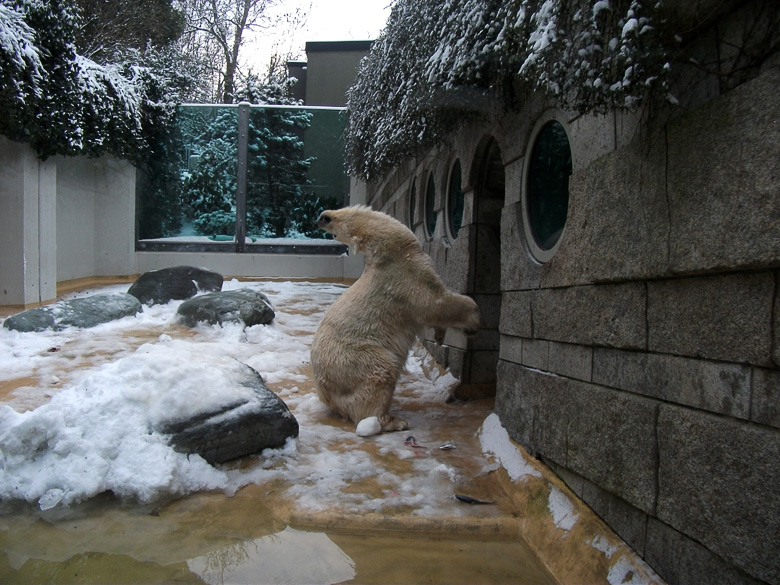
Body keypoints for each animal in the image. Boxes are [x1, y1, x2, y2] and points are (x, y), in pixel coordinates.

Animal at [310, 205, 482, 434]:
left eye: (334, 233)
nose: (322, 218)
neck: (390, 248)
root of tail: (323, 390)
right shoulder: (404, 277)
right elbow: (434, 303)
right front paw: (473, 322)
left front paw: (439, 335)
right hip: (352, 357)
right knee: (380, 371)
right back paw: (390, 421)